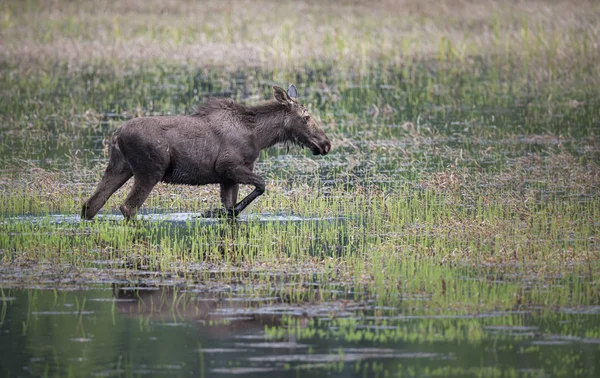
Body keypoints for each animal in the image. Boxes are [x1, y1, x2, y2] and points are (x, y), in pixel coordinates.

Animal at [79, 85, 330, 221]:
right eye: (306, 117)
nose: (325, 143)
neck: (259, 137)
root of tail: (116, 135)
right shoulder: (228, 166)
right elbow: (261, 185)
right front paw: (209, 213)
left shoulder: (228, 178)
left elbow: (232, 207)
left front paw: (217, 212)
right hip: (149, 171)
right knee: (128, 207)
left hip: (120, 167)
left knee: (91, 205)